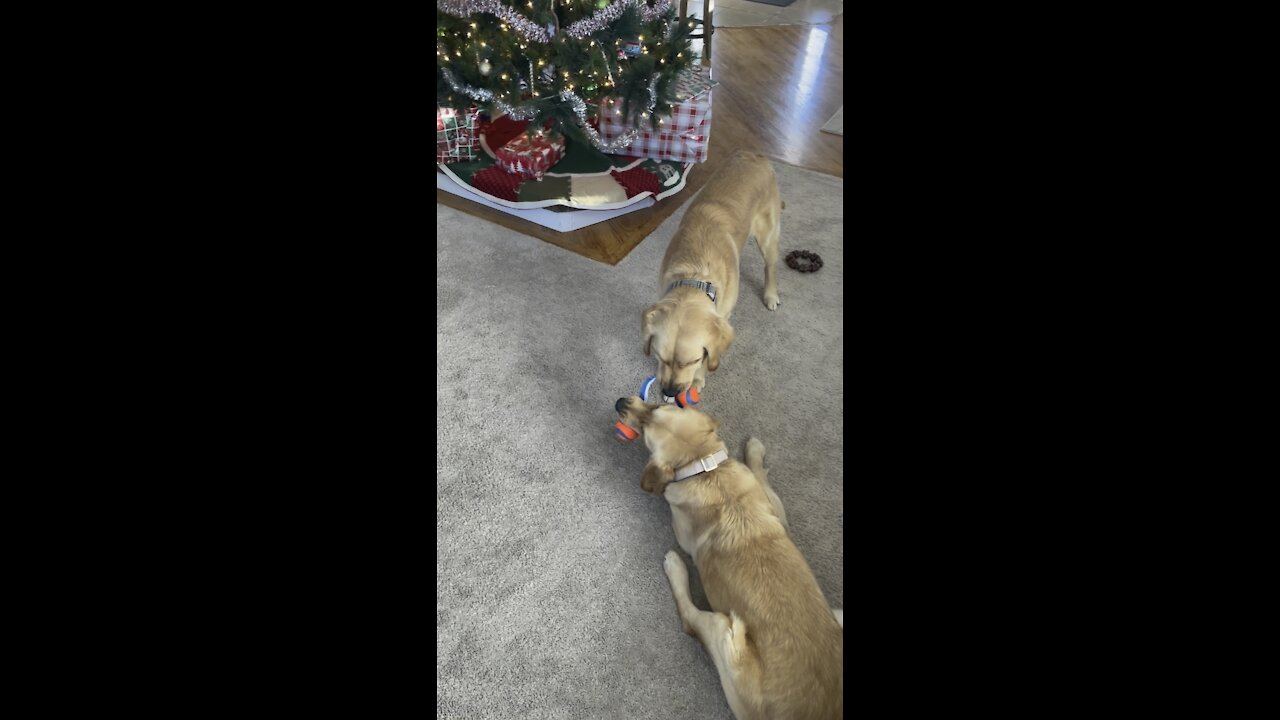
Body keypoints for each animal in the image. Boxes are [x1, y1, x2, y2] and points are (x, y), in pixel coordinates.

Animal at [616, 394, 844, 712]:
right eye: (658, 407)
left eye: (651, 420)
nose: (620, 402)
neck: (704, 466)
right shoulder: (777, 511)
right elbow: (761, 476)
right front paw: (754, 451)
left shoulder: (682, 529)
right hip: (838, 615)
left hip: (726, 633)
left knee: (691, 621)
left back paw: (675, 568)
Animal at [640, 149, 778, 397]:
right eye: (660, 357)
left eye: (692, 361)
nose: (670, 392)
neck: (696, 276)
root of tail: (753, 154)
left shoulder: (723, 316)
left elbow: (710, 355)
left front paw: (697, 379)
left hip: (767, 233)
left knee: (770, 266)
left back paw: (771, 296)